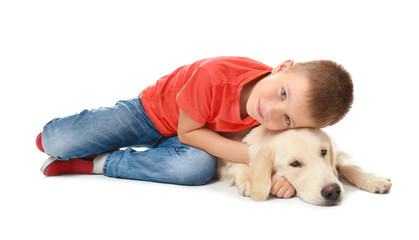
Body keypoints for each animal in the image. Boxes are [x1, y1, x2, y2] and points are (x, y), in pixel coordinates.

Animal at [218, 126, 392, 205]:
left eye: (323, 151)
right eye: (294, 163)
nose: (332, 192)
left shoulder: (336, 149)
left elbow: (350, 166)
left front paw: (374, 180)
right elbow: (237, 165)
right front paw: (250, 181)